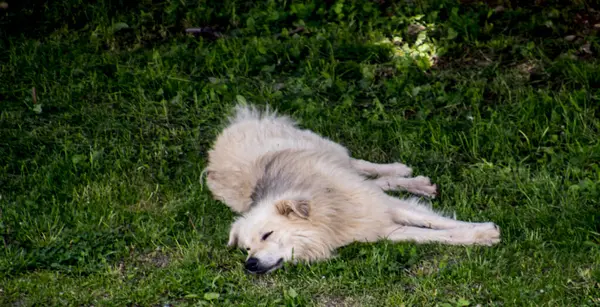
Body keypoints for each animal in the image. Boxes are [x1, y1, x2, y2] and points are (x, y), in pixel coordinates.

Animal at [204, 104, 500, 276]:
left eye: (267, 235)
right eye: (246, 249)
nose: (249, 265)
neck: (330, 213)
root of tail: (230, 130)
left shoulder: (387, 206)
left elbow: (438, 222)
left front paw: (483, 231)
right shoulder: (385, 230)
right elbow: (433, 235)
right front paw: (478, 235)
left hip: (328, 148)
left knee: (361, 165)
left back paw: (405, 174)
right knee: (370, 178)